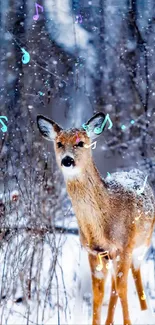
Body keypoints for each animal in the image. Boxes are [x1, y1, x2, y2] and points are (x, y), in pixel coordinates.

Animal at [36, 112, 155, 324]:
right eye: (59, 143)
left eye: (80, 143)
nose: (67, 160)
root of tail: (135, 171)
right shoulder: (94, 252)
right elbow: (98, 294)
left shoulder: (124, 246)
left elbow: (122, 289)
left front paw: (128, 322)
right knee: (116, 284)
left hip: (143, 242)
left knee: (133, 275)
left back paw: (144, 311)